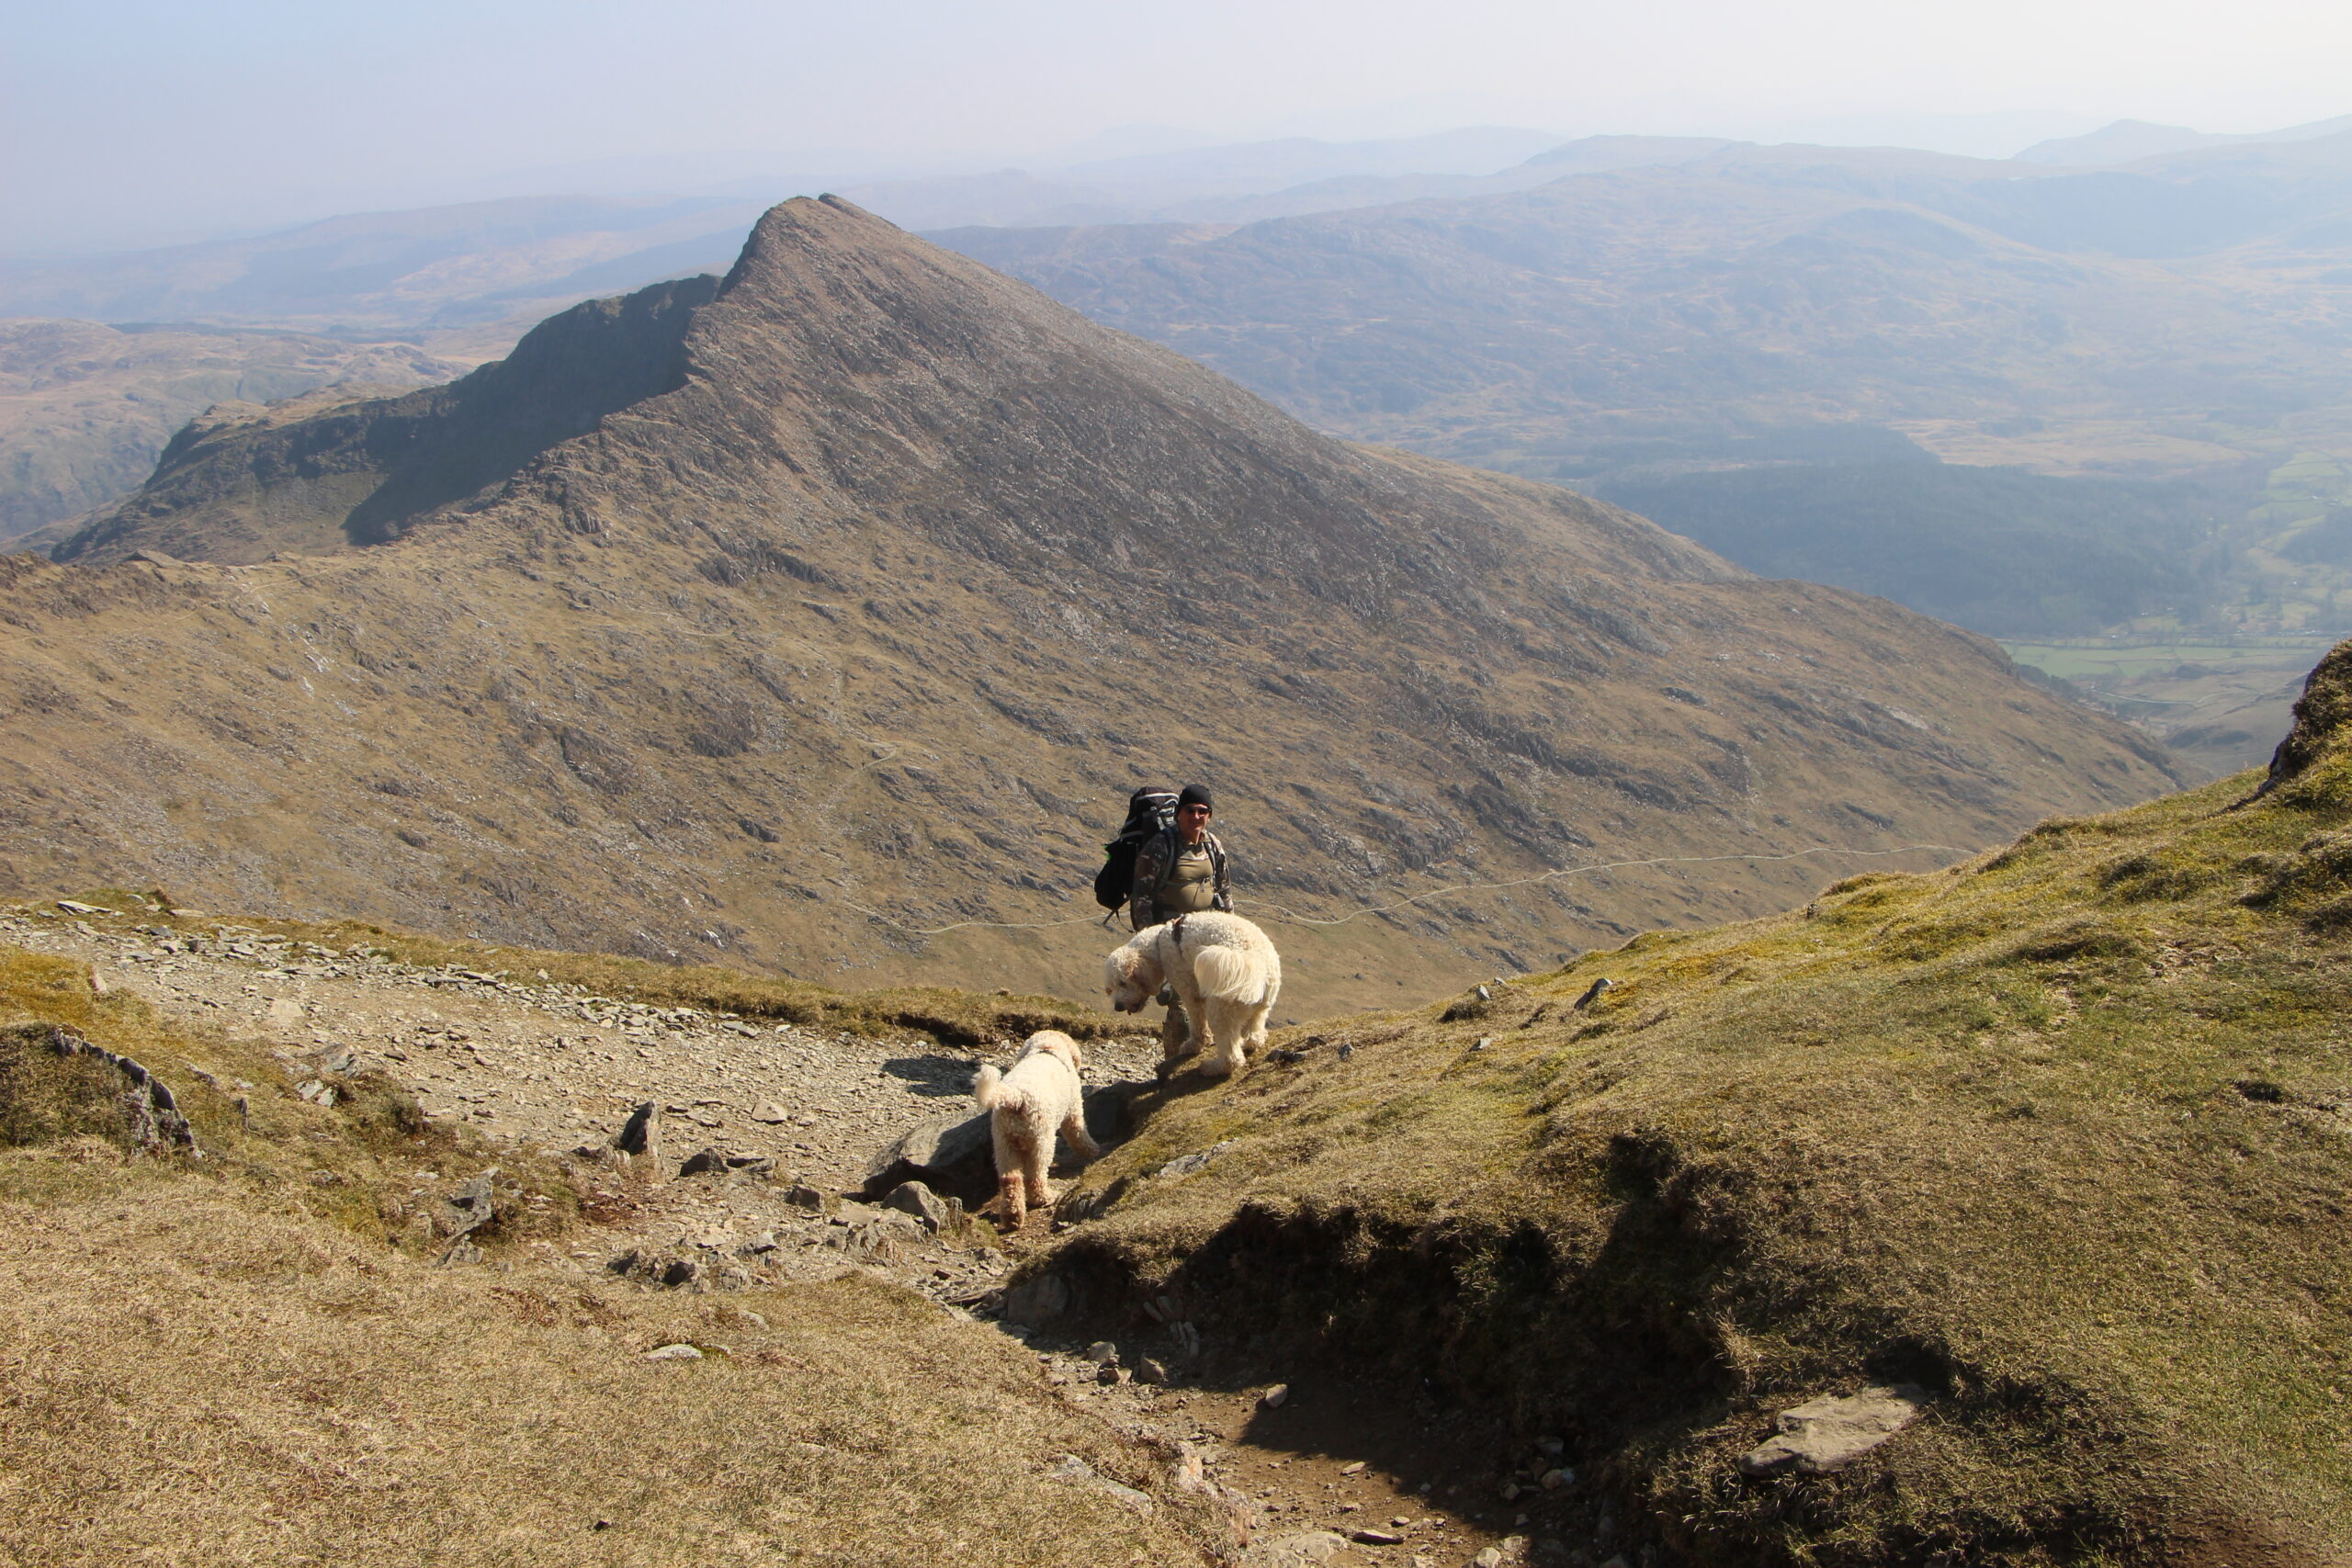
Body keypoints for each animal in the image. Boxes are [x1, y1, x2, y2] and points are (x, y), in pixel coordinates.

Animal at [968, 1029, 1095, 1222]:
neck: (1048, 1048)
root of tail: (1016, 1097)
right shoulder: (1073, 1109)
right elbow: (1078, 1134)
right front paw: (1093, 1151)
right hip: (1041, 1141)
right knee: (1035, 1177)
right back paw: (1044, 1198)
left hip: (1003, 1142)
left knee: (1010, 1179)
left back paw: (1013, 1217)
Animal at [1105, 907, 1288, 1081]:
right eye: (1110, 989)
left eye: (1122, 982)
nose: (1118, 1006)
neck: (1158, 942)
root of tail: (1257, 962)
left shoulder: (1189, 989)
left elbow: (1196, 1020)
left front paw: (1194, 1045)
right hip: (1262, 1004)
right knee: (1255, 1033)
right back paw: (1250, 1042)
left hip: (1222, 1007)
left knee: (1232, 1056)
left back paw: (1213, 1068)